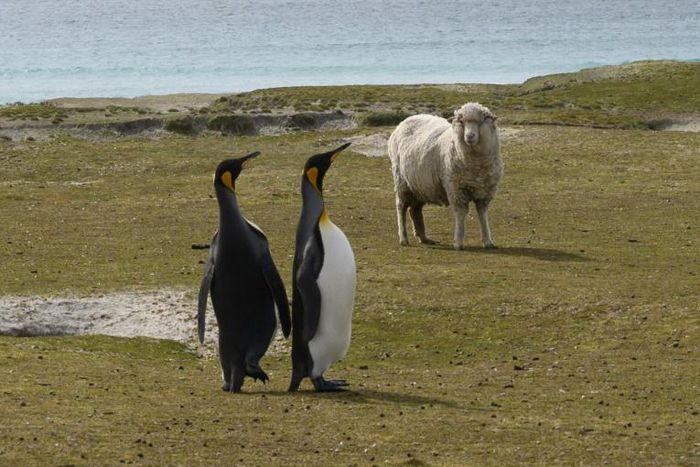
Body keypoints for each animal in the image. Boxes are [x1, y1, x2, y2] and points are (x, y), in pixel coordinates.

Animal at [387, 103, 503, 250]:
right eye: (461, 122)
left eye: (481, 121)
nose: (469, 136)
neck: (475, 164)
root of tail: (404, 121)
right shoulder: (456, 188)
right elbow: (460, 213)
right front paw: (458, 242)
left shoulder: (484, 191)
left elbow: (482, 213)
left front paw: (488, 241)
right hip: (402, 182)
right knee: (401, 208)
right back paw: (403, 238)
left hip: (420, 185)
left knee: (415, 210)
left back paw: (424, 238)